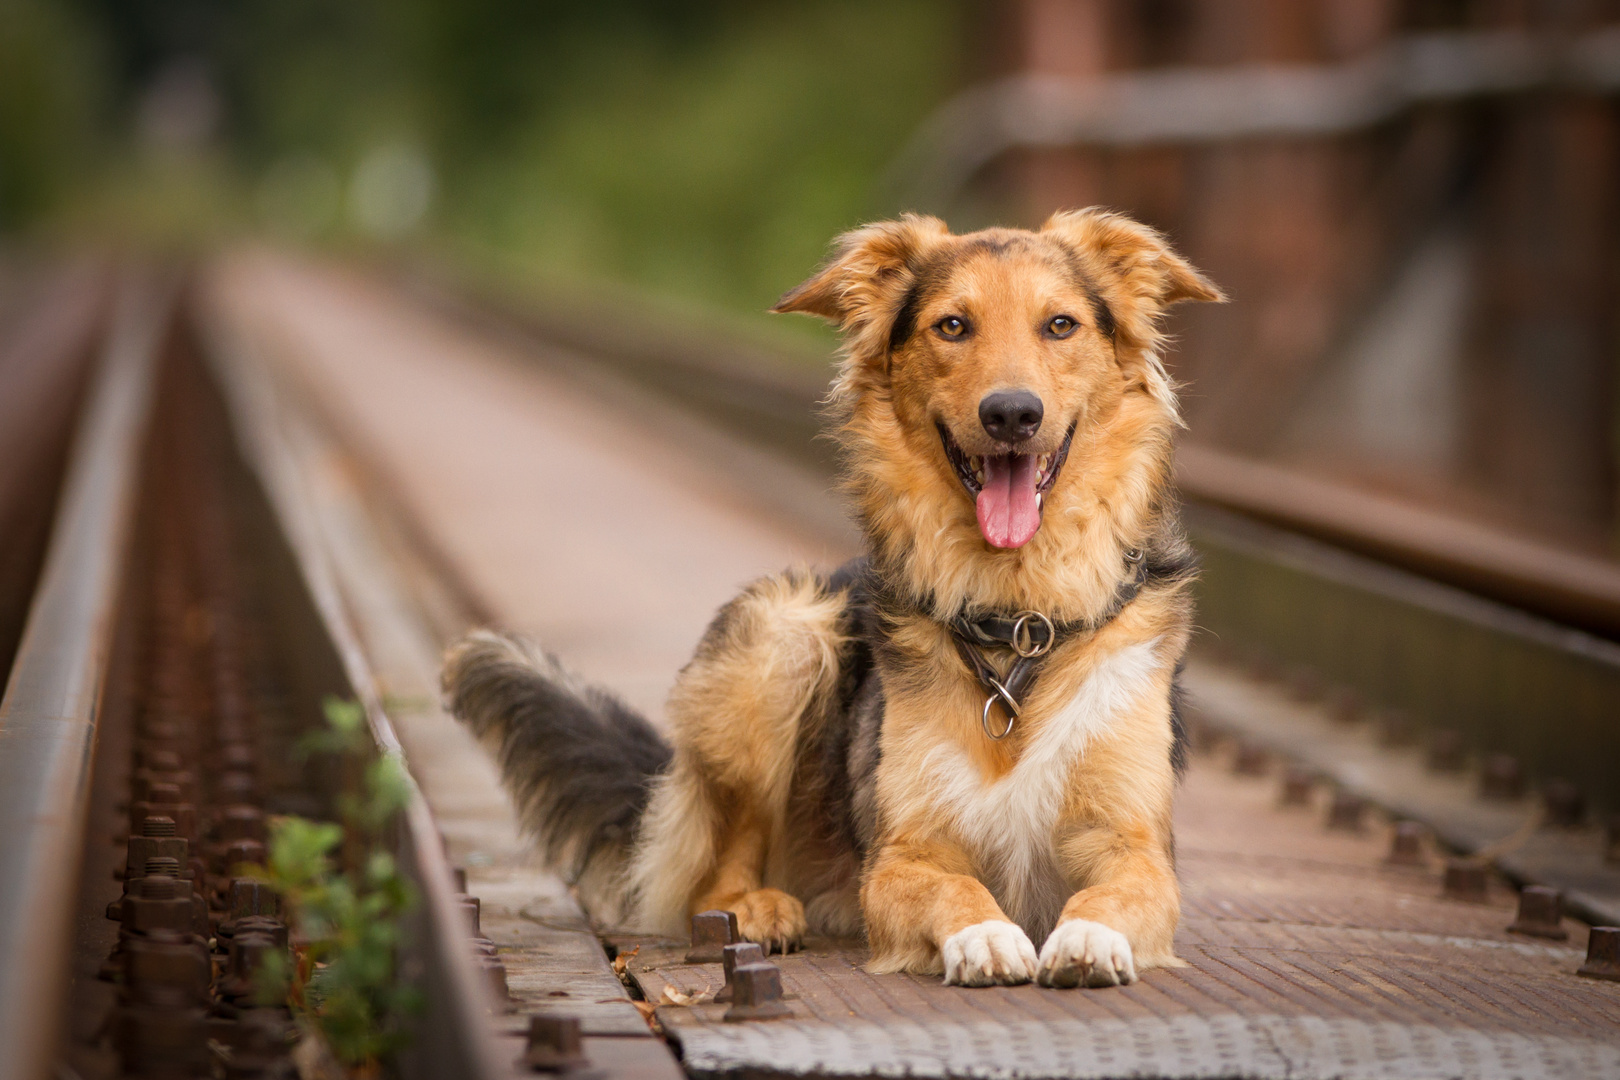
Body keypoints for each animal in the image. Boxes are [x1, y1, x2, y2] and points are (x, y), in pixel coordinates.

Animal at [437, 207, 1218, 990]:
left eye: (1060, 325)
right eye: (953, 326)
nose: (1012, 414)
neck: (1016, 623)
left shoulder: (1134, 844)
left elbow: (1114, 892)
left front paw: (1086, 937)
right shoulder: (901, 856)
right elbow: (956, 887)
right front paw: (986, 936)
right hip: (784, 632)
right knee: (716, 872)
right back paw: (756, 910)